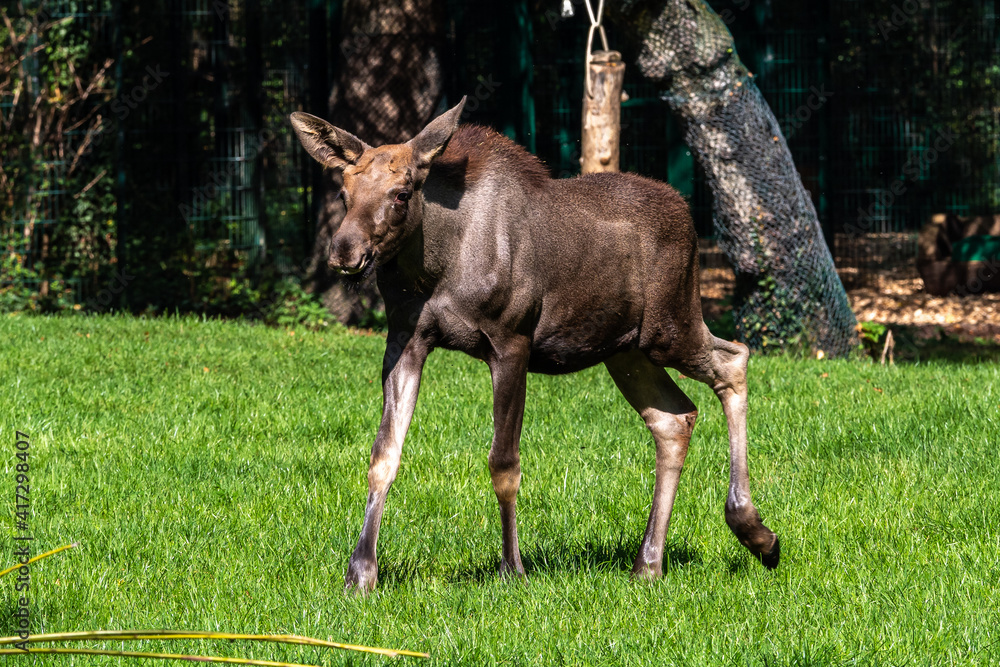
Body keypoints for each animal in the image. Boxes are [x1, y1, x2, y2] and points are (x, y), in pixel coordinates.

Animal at [289, 97, 780, 593]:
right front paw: (360, 572)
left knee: (734, 359)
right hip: (625, 350)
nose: (345, 252)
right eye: (344, 192)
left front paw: (512, 567)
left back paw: (753, 530)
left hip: (671, 324)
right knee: (674, 417)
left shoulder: (511, 341)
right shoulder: (405, 341)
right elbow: (384, 455)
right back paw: (649, 563)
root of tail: (690, 219)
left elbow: (504, 463)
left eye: (402, 193)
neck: (434, 267)